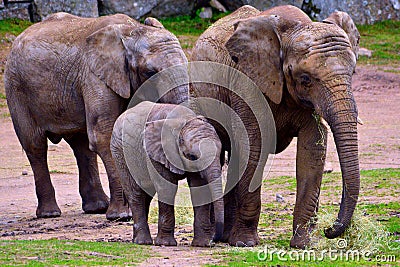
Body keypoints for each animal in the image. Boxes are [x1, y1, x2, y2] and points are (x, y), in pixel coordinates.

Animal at [4, 12, 189, 221]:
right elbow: (104, 136)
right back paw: (49, 214)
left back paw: (97, 207)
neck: (131, 30)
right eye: (150, 72)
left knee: (81, 145)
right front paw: (121, 216)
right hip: (16, 88)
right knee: (35, 144)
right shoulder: (94, 76)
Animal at [111, 101, 223, 248]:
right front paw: (166, 243)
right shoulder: (156, 153)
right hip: (120, 153)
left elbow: (199, 190)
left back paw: (136, 240)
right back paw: (143, 242)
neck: (184, 120)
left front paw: (202, 244)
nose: (215, 239)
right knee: (135, 193)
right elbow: (166, 188)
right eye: (192, 156)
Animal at [191, 5, 362, 249]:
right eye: (305, 79)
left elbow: (312, 152)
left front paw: (303, 244)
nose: (329, 230)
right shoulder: (248, 82)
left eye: (353, 73)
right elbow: (253, 147)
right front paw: (245, 243)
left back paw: (225, 237)